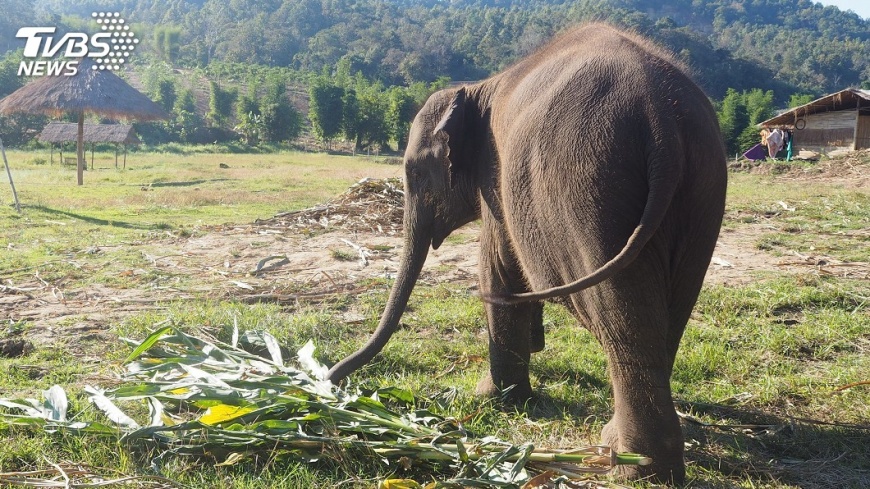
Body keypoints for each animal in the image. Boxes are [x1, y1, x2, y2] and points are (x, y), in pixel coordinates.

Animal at [326, 23, 727, 484]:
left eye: (414, 172)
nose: (333, 379)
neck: (478, 86)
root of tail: (662, 120)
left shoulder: (497, 180)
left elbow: (498, 268)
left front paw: (492, 398)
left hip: (591, 193)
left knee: (623, 319)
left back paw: (632, 467)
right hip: (700, 196)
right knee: (669, 314)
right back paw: (628, 450)